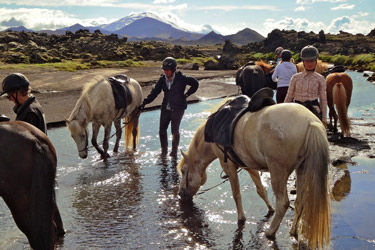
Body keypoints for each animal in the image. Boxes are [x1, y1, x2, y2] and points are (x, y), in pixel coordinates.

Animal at [179, 102, 332, 249]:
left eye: (183, 171)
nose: (181, 194)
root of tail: (310, 122)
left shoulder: (228, 166)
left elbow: (236, 194)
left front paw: (241, 218)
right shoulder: (249, 166)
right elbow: (261, 190)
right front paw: (270, 208)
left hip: (278, 171)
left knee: (283, 203)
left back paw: (270, 233)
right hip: (301, 170)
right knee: (299, 202)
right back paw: (293, 231)